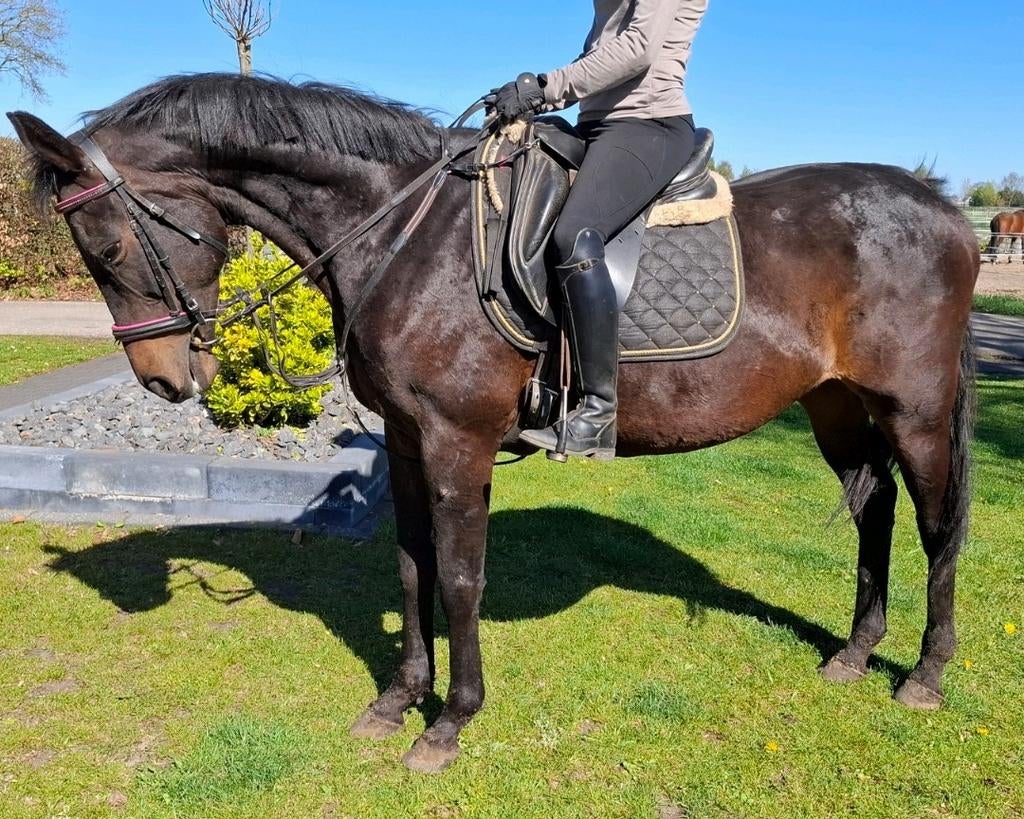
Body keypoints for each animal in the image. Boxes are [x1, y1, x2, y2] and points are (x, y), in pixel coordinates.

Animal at [8, 73, 979, 773]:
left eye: (105, 244)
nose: (163, 380)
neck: (406, 231)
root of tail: (942, 208)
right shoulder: (406, 442)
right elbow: (411, 567)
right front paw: (398, 699)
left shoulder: (456, 440)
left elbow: (463, 579)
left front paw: (449, 723)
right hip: (836, 404)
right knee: (875, 511)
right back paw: (855, 651)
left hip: (917, 409)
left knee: (938, 525)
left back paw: (926, 673)